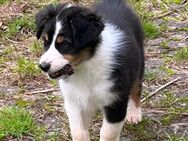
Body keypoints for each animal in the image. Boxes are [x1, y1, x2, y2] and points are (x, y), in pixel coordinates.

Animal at [35, 0, 144, 140]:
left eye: (65, 43)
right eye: (46, 41)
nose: (43, 66)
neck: (86, 66)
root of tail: (114, 3)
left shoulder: (115, 101)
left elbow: (108, 133)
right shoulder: (74, 100)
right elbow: (78, 131)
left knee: (137, 86)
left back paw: (134, 113)